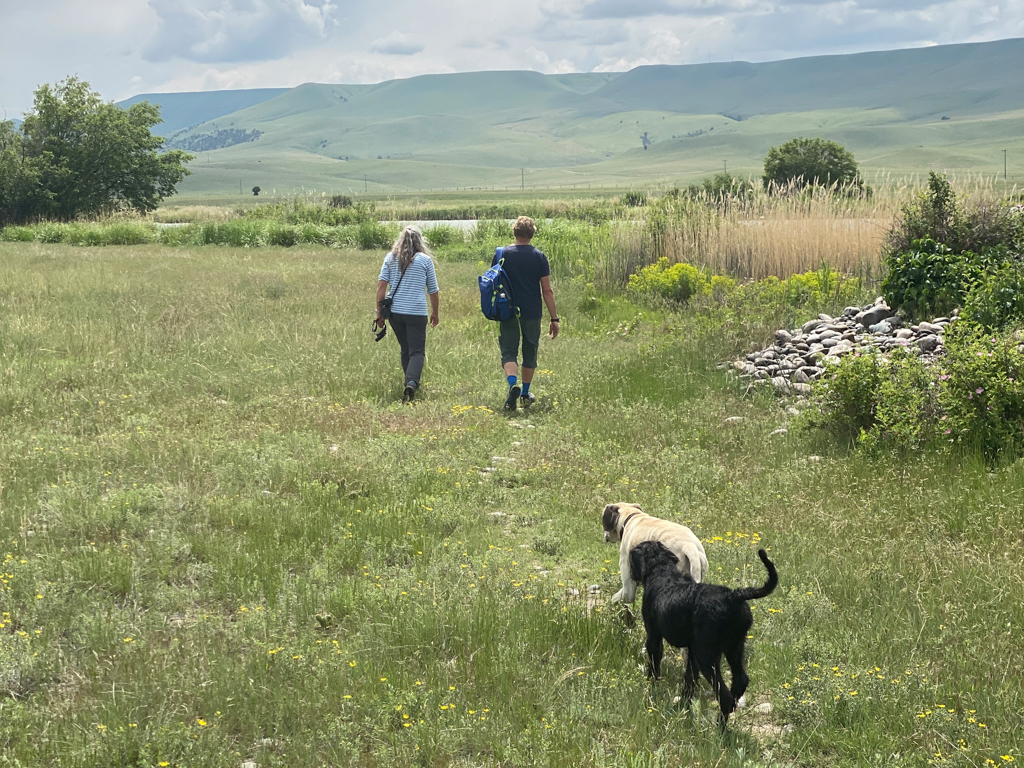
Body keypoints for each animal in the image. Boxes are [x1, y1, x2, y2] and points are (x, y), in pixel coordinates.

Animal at [626, 540, 778, 729]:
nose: (631, 575)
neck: (661, 569)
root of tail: (733, 596)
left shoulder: (654, 636)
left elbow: (654, 664)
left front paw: (651, 687)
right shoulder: (692, 649)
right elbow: (690, 677)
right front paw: (684, 704)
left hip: (707, 655)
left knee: (725, 696)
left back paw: (720, 728)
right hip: (734, 646)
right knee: (740, 680)